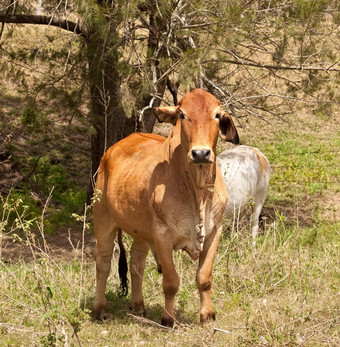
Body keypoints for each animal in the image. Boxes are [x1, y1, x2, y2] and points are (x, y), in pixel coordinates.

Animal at [93, 88, 239, 328]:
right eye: (182, 114)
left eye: (217, 115)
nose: (201, 153)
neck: (196, 189)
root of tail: (111, 150)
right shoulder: (162, 236)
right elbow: (171, 282)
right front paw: (168, 318)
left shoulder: (214, 231)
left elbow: (204, 278)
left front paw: (207, 315)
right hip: (103, 218)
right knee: (103, 263)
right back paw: (100, 309)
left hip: (141, 231)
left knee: (136, 262)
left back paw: (138, 306)